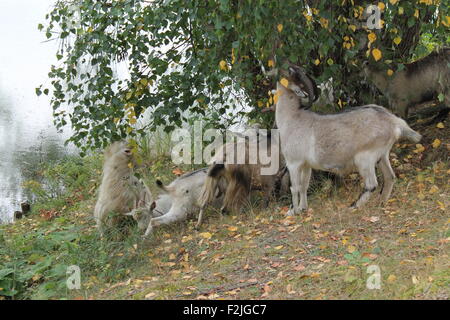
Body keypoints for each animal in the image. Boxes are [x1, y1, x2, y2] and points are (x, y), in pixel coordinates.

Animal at [274, 65, 422, 215]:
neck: (292, 119)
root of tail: (394, 122)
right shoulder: (306, 165)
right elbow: (304, 186)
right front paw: (303, 208)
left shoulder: (294, 163)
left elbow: (295, 188)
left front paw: (293, 212)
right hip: (382, 156)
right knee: (390, 177)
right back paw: (381, 203)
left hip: (365, 158)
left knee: (372, 184)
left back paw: (354, 205)